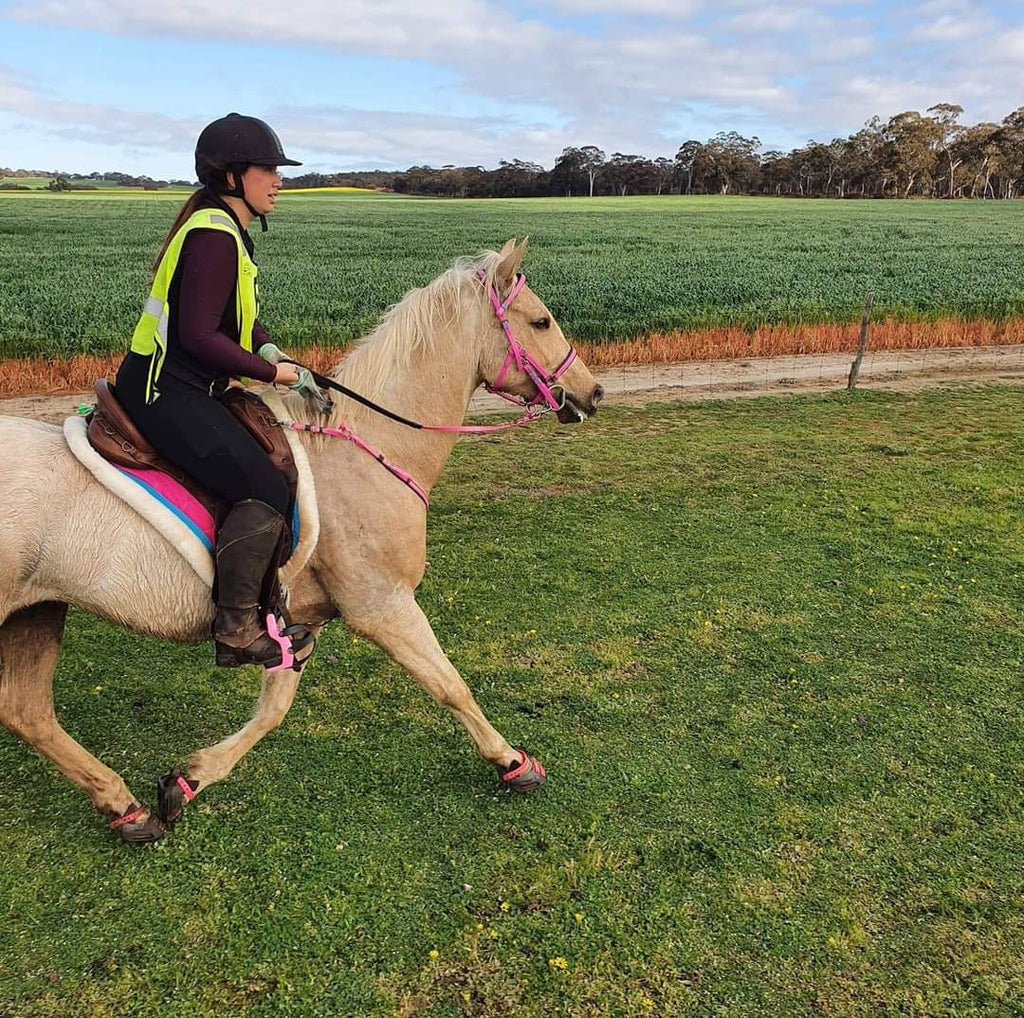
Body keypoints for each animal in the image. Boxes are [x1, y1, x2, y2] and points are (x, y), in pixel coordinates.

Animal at [0, 237, 602, 839]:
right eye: (541, 321)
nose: (590, 392)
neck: (366, 450)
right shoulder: (381, 606)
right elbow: (450, 683)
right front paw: (512, 761)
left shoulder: (301, 622)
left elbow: (273, 711)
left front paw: (187, 780)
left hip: (37, 611)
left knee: (28, 712)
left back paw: (125, 808)